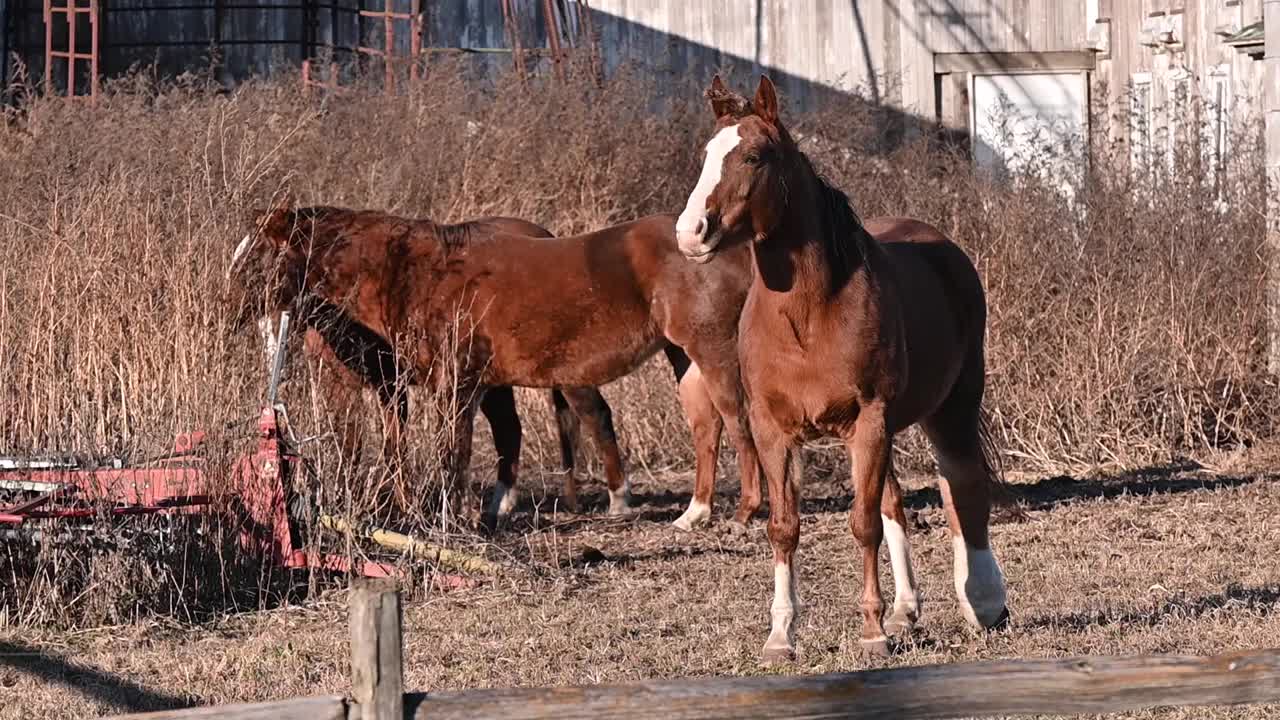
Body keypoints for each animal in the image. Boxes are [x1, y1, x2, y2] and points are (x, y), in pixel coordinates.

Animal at [226, 207, 762, 527]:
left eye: (256, 259)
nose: (227, 315)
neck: (413, 275)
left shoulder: (456, 387)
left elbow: (451, 454)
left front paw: (448, 516)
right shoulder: (405, 386)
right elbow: (398, 446)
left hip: (705, 351)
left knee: (735, 420)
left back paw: (737, 509)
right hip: (682, 356)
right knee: (707, 426)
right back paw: (692, 513)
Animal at [680, 75, 1008, 661]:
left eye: (755, 156)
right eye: (706, 156)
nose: (690, 232)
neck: (810, 314)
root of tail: (944, 246)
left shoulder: (868, 421)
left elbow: (863, 525)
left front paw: (872, 633)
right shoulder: (773, 430)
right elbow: (785, 527)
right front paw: (781, 636)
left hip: (952, 405)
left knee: (962, 485)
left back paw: (984, 602)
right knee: (898, 501)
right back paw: (907, 610)